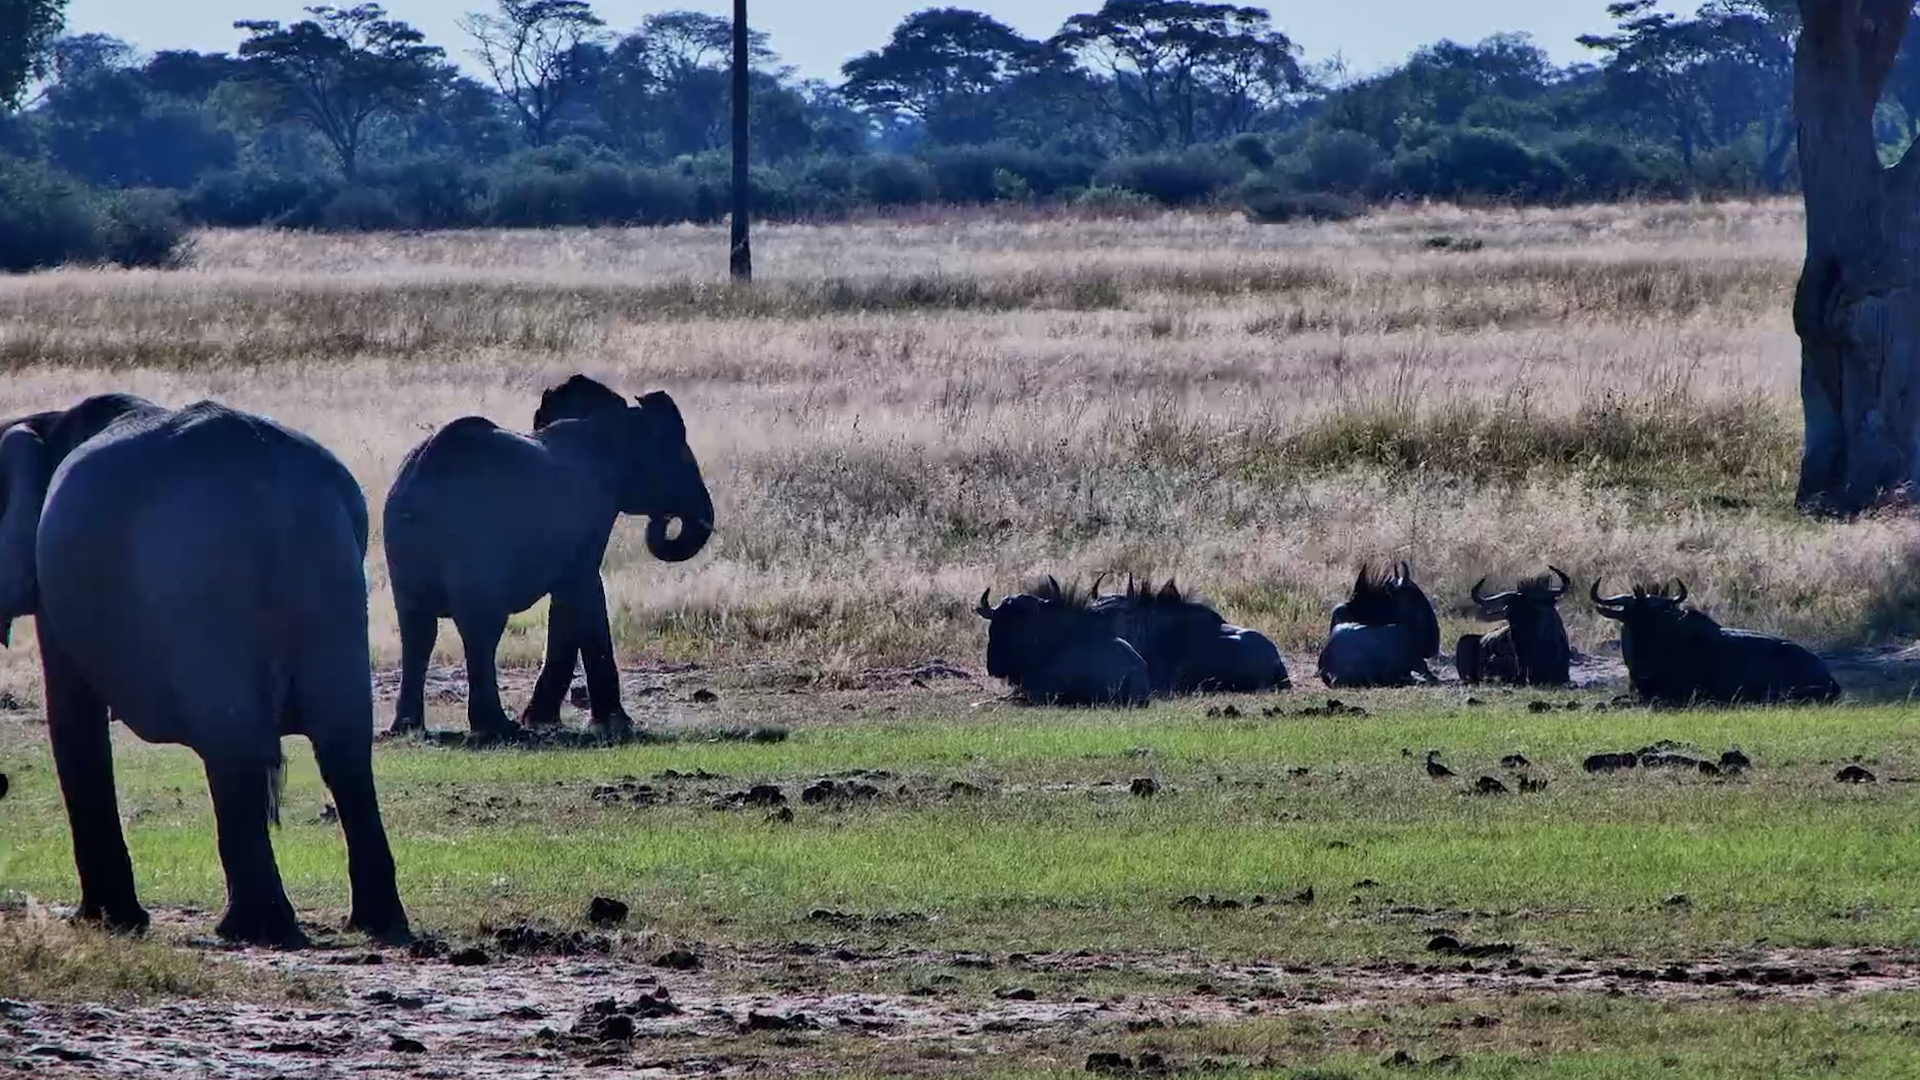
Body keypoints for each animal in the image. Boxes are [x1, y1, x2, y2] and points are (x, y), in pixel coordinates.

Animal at [0, 394, 408, 947]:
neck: (47, 424)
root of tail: (269, 476)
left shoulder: (54, 589)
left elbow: (73, 717)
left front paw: (105, 922)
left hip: (197, 577)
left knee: (231, 745)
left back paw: (252, 929)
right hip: (334, 570)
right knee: (344, 745)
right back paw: (374, 924)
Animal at [382, 379, 713, 739]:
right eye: (680, 457)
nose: (664, 518)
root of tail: (426, 467)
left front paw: (549, 720)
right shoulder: (591, 510)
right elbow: (583, 588)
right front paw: (608, 724)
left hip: (403, 539)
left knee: (417, 627)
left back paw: (407, 728)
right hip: (473, 539)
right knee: (481, 626)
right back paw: (499, 728)